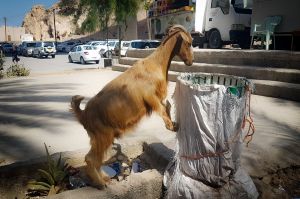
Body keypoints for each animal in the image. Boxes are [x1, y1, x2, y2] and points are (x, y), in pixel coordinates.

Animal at [70, 24, 193, 188]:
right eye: (189, 43)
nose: (191, 61)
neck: (156, 64)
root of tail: (83, 114)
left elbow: (165, 107)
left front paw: (174, 123)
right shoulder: (150, 97)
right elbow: (161, 109)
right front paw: (171, 126)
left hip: (98, 138)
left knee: (96, 160)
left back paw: (104, 178)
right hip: (103, 136)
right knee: (91, 159)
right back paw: (101, 183)